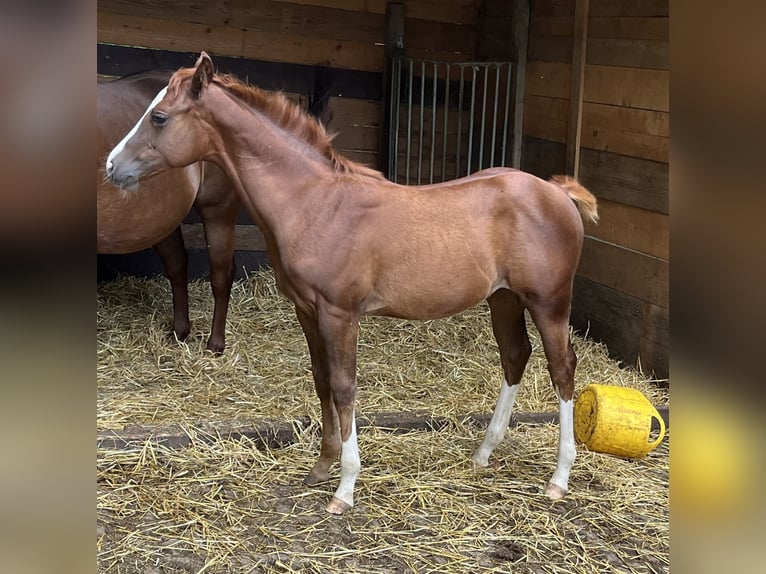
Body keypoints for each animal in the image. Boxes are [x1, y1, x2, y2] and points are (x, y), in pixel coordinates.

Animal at [97, 70, 238, 354]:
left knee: (221, 276)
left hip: (218, 213)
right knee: (177, 265)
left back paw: (215, 344)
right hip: (162, 219)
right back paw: (180, 331)